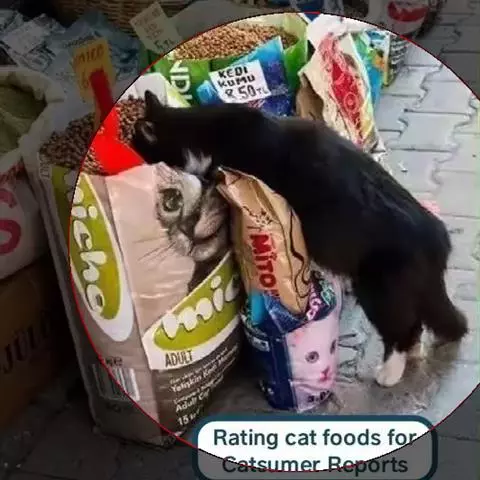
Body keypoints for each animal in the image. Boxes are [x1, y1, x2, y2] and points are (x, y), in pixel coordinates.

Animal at [132, 90, 468, 388]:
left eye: (137, 145)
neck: (202, 132)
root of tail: (436, 239)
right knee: (415, 322)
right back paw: (414, 352)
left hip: (379, 289)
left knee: (399, 328)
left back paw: (390, 372)